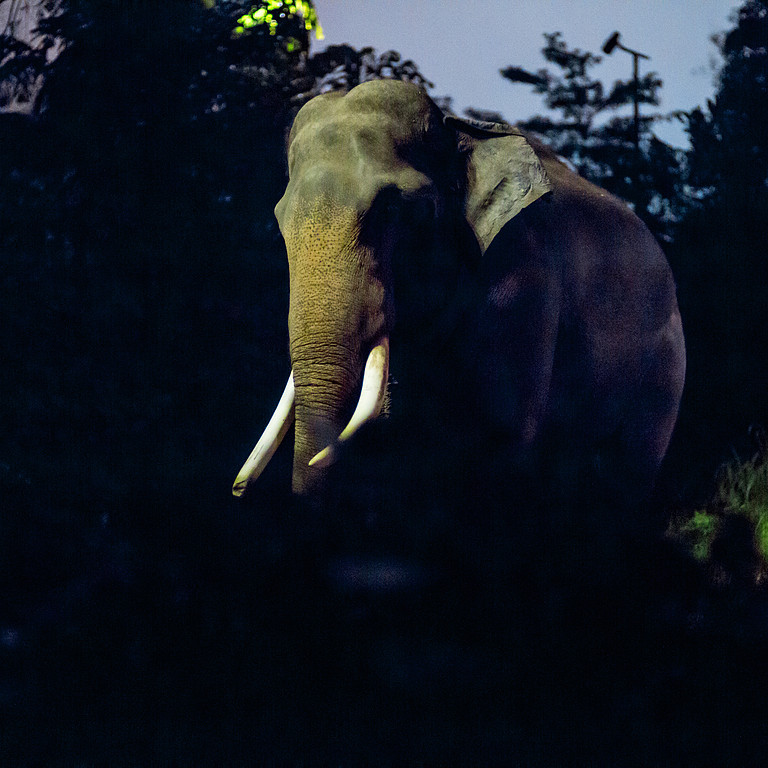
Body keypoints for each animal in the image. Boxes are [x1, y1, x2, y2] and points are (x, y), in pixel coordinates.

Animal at [232, 79, 685, 504]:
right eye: (279, 219)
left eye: (391, 209)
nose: (237, 490)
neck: (458, 133)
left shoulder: (523, 283)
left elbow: (499, 442)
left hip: (663, 375)